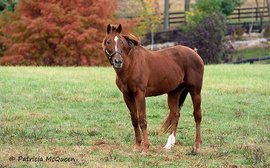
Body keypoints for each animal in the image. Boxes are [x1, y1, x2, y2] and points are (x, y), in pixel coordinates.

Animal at [102, 24, 204, 154]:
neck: (131, 64)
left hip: (195, 91)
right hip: (174, 92)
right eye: (108, 41)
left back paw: (196, 146)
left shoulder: (140, 94)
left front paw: (146, 147)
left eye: (121, 42)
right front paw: (137, 146)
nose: (118, 61)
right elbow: (134, 119)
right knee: (175, 115)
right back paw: (169, 145)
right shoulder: (127, 96)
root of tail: (195, 53)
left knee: (197, 116)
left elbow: (142, 119)